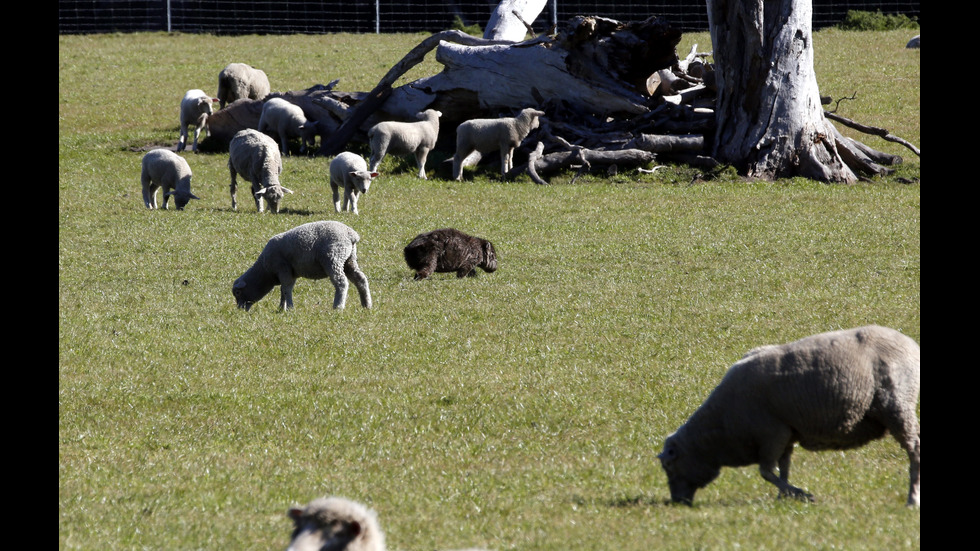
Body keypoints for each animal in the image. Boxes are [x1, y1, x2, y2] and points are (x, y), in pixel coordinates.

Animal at [232, 222, 374, 312]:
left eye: (238, 293)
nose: (240, 310)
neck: (265, 270)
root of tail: (351, 235)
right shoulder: (290, 272)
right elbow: (283, 290)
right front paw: (281, 307)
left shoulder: (283, 268)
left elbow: (286, 289)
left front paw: (289, 308)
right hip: (349, 260)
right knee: (360, 279)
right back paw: (366, 305)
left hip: (333, 258)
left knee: (341, 282)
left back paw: (338, 307)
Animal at [660, 326, 920, 506]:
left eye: (670, 466)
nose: (677, 502)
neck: (720, 427)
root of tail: (910, 344)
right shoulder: (786, 432)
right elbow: (783, 468)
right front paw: (783, 497)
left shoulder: (771, 433)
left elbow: (767, 472)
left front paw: (799, 494)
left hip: (897, 405)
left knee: (914, 450)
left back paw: (912, 498)